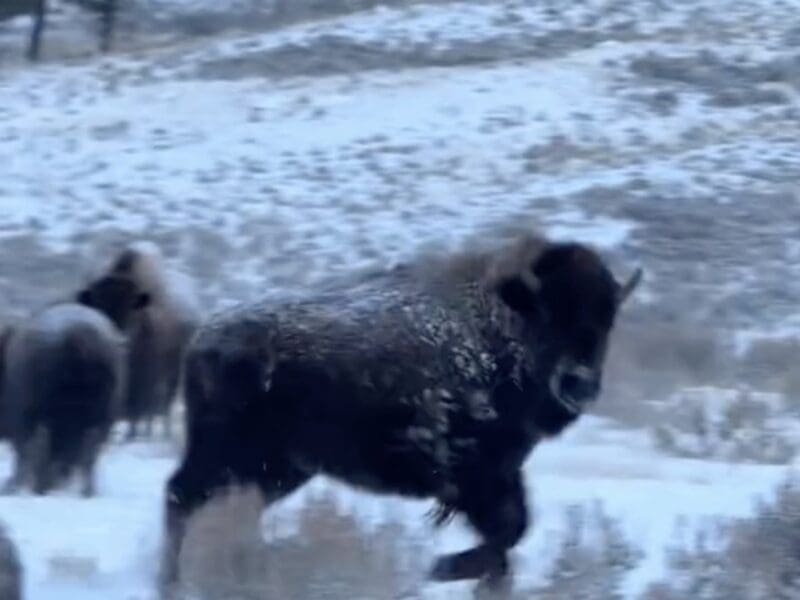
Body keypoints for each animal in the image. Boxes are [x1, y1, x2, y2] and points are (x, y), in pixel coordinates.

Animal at [159, 234, 642, 594]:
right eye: (548, 312)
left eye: (609, 316)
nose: (579, 381)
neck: (499, 322)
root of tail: (203, 339)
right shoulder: (475, 476)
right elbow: (507, 532)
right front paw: (440, 567)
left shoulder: (499, 474)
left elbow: (511, 533)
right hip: (227, 456)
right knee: (181, 497)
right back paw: (176, 582)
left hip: (279, 469)